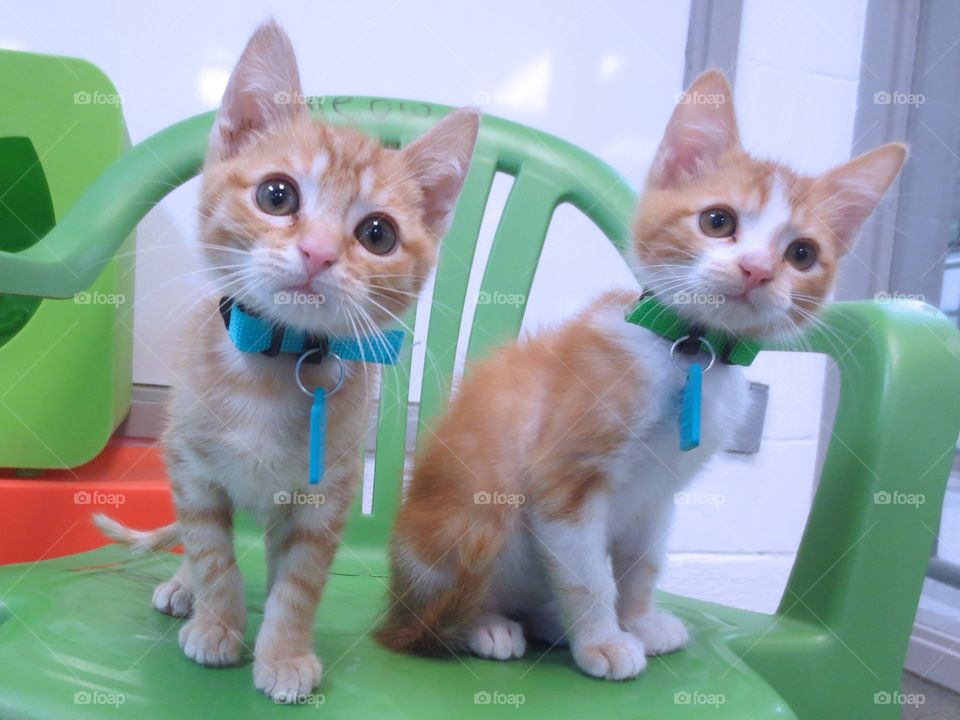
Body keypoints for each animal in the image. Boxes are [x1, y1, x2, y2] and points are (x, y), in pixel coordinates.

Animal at [94, 22, 476, 704]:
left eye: (378, 234)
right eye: (277, 195)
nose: (319, 252)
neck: (275, 365)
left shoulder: (322, 500)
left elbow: (297, 584)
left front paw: (284, 653)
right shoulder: (192, 469)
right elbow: (213, 554)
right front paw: (217, 623)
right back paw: (184, 590)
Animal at [376, 69, 908, 680]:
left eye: (802, 254)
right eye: (718, 221)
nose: (757, 270)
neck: (688, 354)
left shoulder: (659, 496)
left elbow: (642, 562)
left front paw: (638, 620)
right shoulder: (562, 478)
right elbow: (588, 575)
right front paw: (605, 641)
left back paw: (548, 623)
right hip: (467, 525)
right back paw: (486, 625)